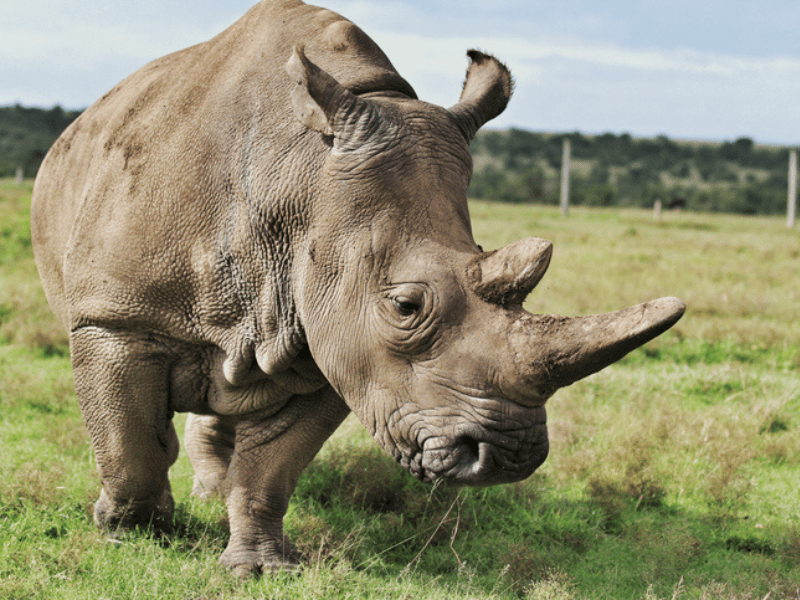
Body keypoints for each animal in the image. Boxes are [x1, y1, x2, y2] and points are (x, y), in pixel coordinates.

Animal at [31, 0, 684, 575]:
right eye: (405, 306)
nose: (509, 455)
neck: (299, 180)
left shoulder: (332, 344)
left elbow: (271, 470)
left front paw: (260, 568)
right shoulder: (115, 318)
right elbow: (129, 444)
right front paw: (131, 529)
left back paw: (212, 490)